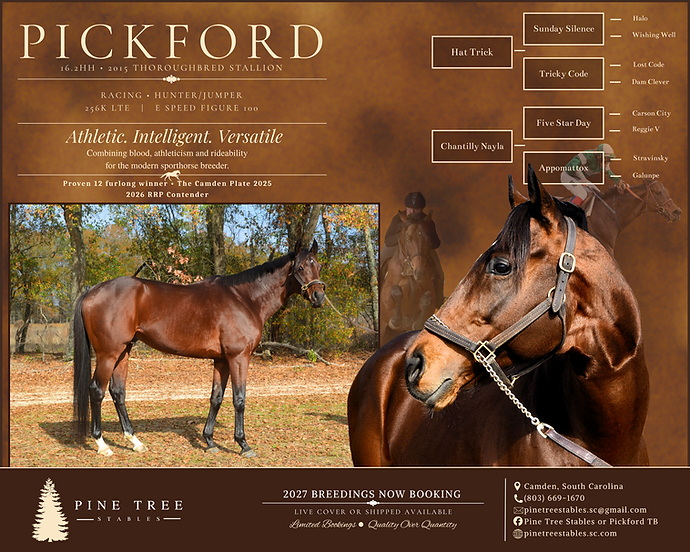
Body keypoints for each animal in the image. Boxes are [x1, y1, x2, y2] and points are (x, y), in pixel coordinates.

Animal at [73, 239, 326, 458]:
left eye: (319, 265)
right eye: (301, 267)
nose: (319, 296)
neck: (244, 299)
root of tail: (92, 291)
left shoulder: (222, 360)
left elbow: (216, 398)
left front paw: (210, 441)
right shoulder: (238, 357)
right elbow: (239, 399)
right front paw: (243, 444)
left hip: (123, 352)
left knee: (118, 393)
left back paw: (135, 441)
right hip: (108, 354)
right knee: (96, 391)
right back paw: (102, 445)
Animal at [380, 211, 443, 345]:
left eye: (428, 239)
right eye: (408, 239)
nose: (419, 272)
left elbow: (427, 299)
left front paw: (417, 322)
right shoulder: (386, 296)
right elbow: (395, 290)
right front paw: (396, 320)